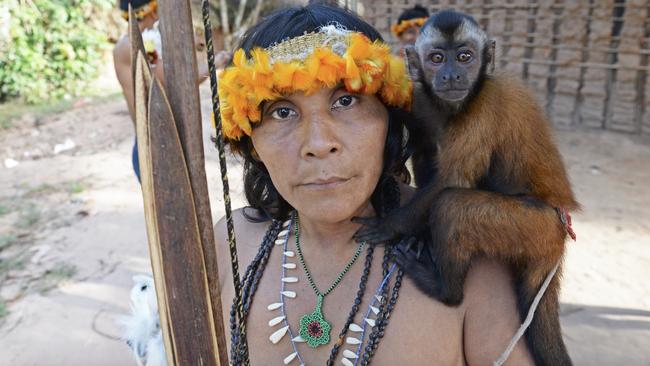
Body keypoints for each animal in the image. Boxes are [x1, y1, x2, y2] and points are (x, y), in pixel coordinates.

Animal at [354, 9, 576, 366]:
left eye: (464, 57)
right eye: (436, 58)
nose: (452, 75)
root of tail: (561, 230)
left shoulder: (483, 105)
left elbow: (452, 182)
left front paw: (389, 226)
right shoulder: (423, 98)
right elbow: (424, 145)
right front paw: (415, 231)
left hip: (535, 228)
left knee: (452, 205)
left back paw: (446, 291)